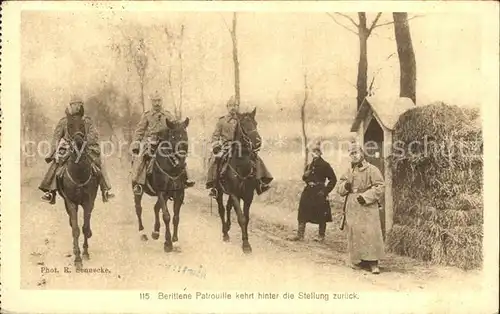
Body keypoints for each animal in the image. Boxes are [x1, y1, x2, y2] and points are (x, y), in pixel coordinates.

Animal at [56, 114, 99, 268]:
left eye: (82, 124)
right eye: (69, 125)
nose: (79, 142)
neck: (79, 174)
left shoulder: (88, 202)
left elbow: (85, 227)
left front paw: (85, 253)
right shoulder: (71, 203)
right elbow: (75, 229)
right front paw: (77, 259)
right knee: (72, 224)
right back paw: (75, 250)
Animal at [134, 118, 190, 253]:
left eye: (185, 135)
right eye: (173, 136)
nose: (182, 162)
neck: (172, 168)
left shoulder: (179, 193)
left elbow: (176, 217)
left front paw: (175, 242)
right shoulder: (161, 192)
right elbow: (167, 216)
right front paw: (168, 243)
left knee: (155, 208)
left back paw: (155, 231)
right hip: (138, 189)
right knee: (138, 209)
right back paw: (142, 232)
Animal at [214, 108, 262, 253]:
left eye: (256, 123)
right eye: (244, 126)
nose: (258, 142)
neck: (241, 166)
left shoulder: (248, 195)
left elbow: (246, 218)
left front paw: (246, 240)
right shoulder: (235, 194)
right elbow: (241, 218)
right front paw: (246, 245)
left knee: (228, 207)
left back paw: (228, 226)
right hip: (220, 191)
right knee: (222, 209)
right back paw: (225, 233)